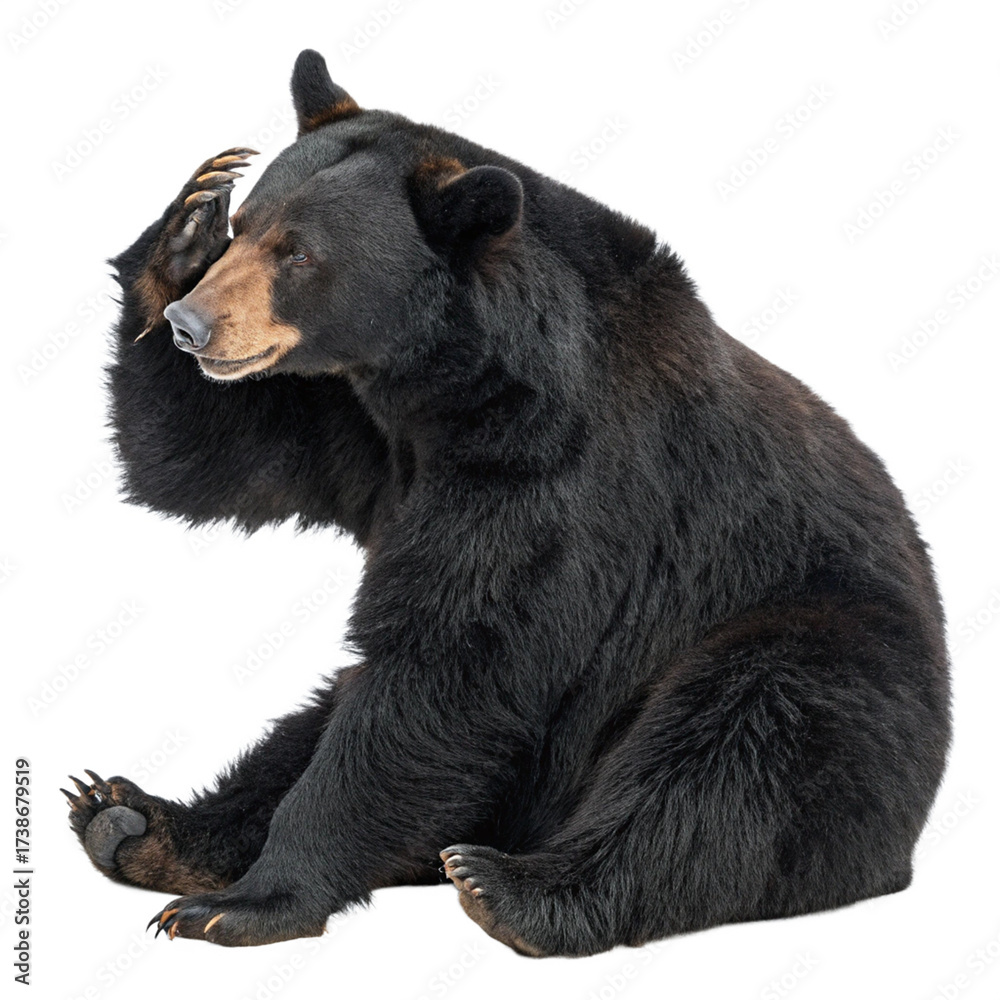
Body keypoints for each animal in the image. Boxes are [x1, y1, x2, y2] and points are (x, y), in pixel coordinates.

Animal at [63, 49, 951, 957]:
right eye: (246, 228)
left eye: (301, 254)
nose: (191, 324)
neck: (453, 382)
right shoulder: (366, 434)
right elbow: (216, 456)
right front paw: (188, 217)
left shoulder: (558, 474)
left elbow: (455, 661)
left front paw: (250, 903)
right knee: (315, 717)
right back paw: (136, 821)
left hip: (813, 644)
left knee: (728, 755)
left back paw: (514, 888)